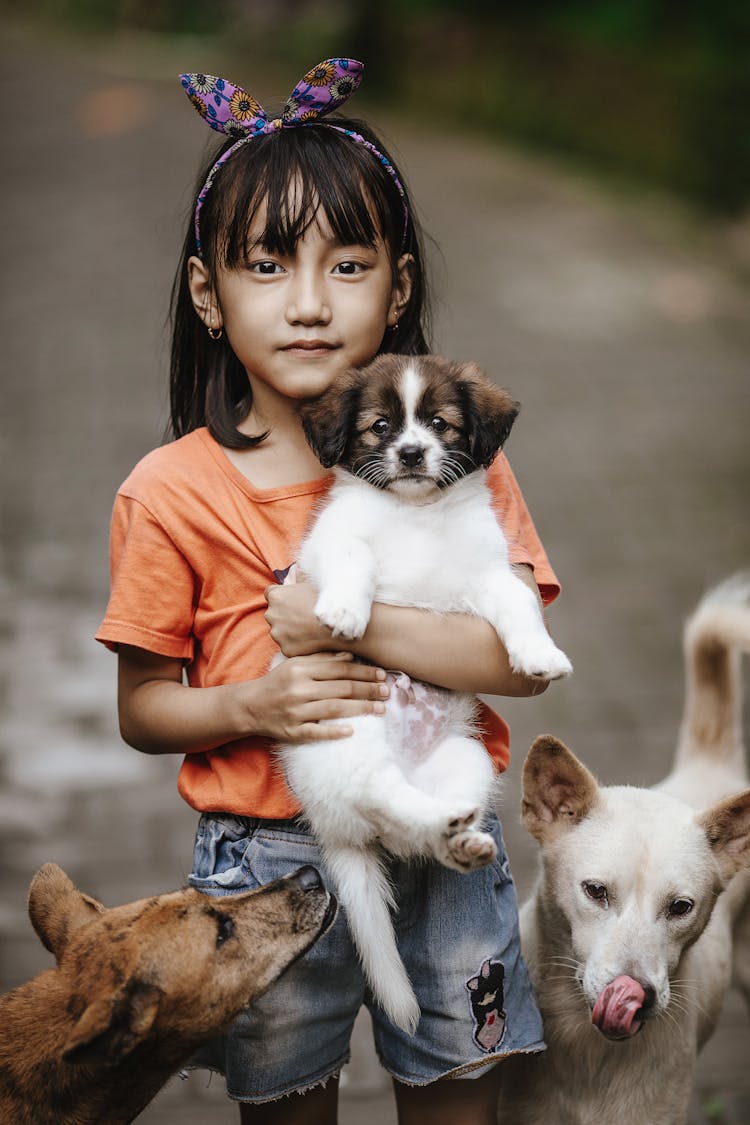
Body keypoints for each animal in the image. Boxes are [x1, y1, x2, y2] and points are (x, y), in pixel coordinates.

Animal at [273, 355, 571, 1030]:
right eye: (381, 427)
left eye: (439, 423)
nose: (411, 453)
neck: (416, 514)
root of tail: (332, 826)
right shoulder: (332, 541)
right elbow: (354, 557)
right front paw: (344, 610)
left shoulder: (489, 572)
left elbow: (518, 603)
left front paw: (538, 654)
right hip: (350, 734)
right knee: (381, 796)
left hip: (464, 759)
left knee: (406, 828)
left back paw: (458, 836)